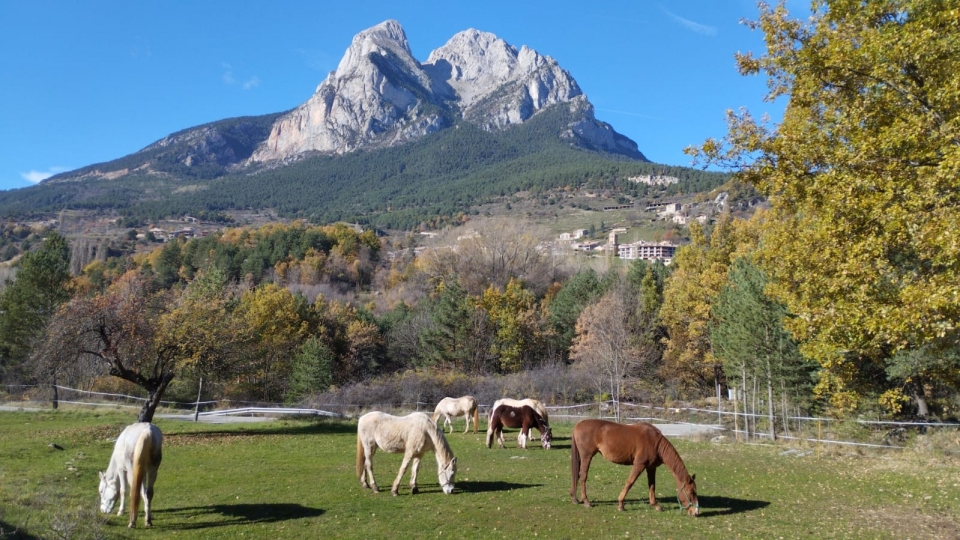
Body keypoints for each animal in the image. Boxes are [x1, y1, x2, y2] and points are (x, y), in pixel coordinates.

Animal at [570, 420, 699, 516]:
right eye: (691, 492)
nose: (696, 512)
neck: (656, 443)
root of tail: (578, 425)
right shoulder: (639, 465)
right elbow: (629, 482)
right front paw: (621, 505)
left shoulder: (651, 468)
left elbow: (652, 486)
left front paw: (656, 505)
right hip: (587, 456)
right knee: (583, 476)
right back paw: (586, 502)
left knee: (577, 475)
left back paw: (575, 499)